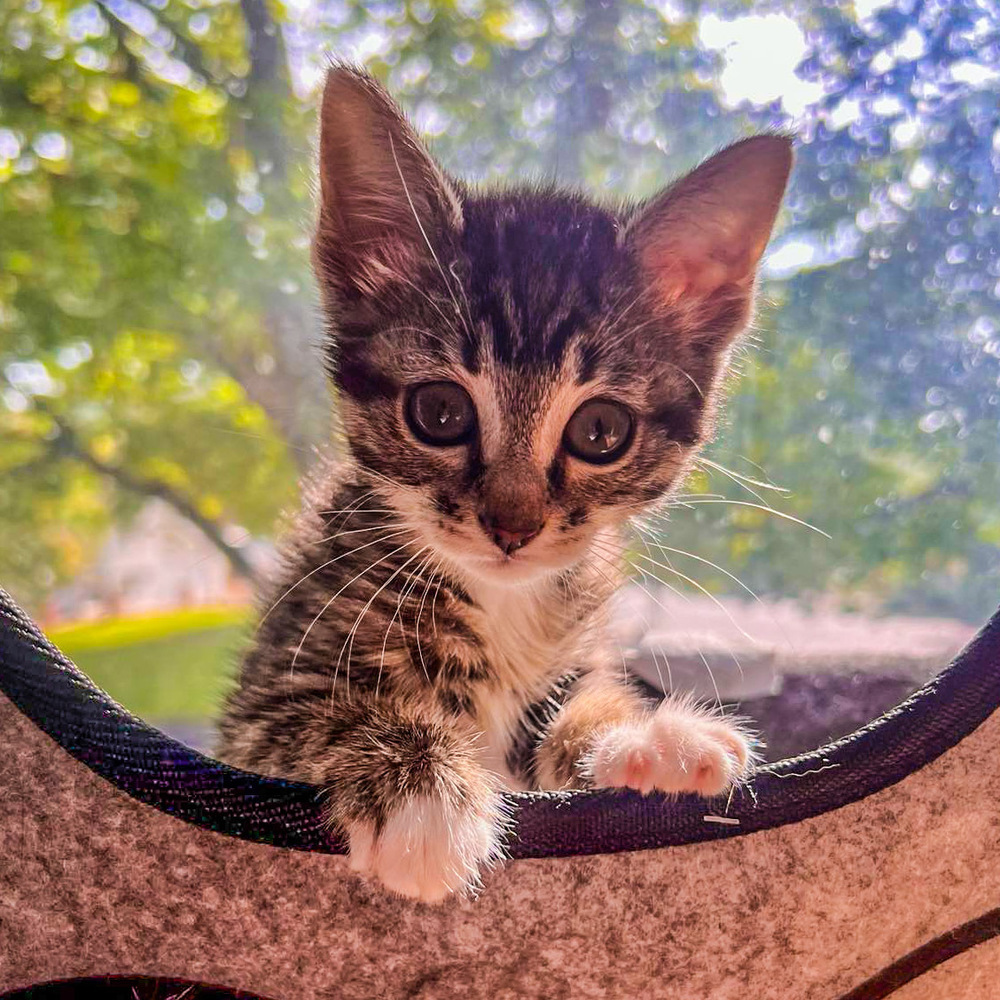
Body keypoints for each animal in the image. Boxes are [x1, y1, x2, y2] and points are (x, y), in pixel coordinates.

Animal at [215, 66, 792, 904]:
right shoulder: (257, 709)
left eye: (600, 432)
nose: (512, 528)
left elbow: (576, 703)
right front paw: (422, 796)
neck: (501, 602)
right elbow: (327, 710)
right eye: (440, 413)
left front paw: (643, 732)